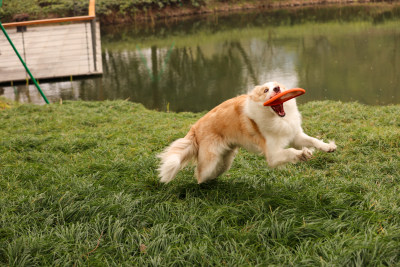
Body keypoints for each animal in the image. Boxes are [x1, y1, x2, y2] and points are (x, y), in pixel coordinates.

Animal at [158, 81, 336, 184]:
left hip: (225, 161)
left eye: (277, 85)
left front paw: (328, 147)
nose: (277, 88)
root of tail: (195, 128)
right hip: (210, 161)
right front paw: (302, 154)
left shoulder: (295, 135)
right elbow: (291, 151)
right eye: (266, 90)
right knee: (199, 175)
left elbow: (313, 140)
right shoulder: (272, 154)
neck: (278, 118)